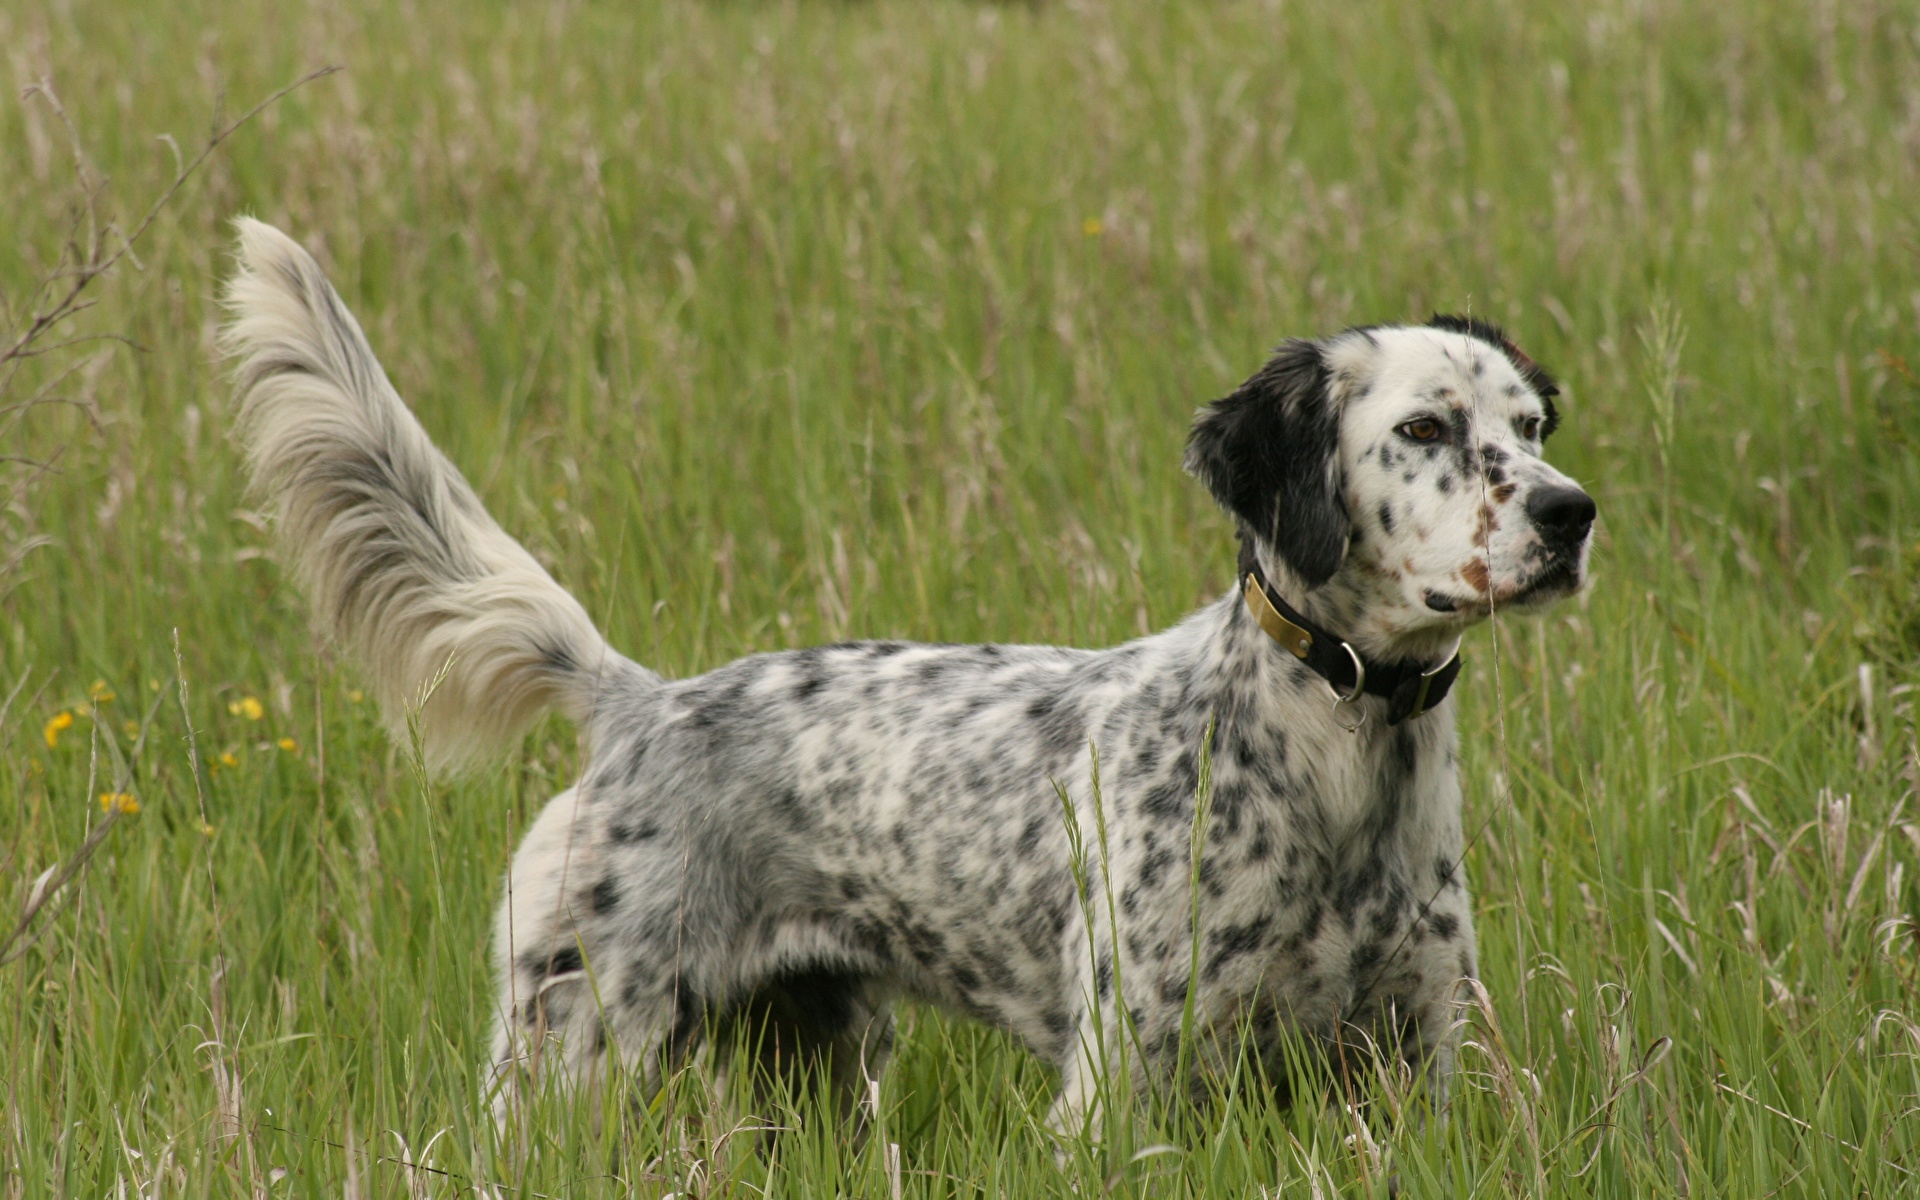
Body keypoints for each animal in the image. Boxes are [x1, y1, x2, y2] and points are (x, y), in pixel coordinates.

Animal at [224, 219, 1597, 1128]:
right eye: (1423, 429)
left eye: (1530, 426)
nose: (1572, 514)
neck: (1331, 759)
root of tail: (641, 703)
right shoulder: (1126, 1081)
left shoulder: (1412, 1063)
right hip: (569, 1056)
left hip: (818, 1068)